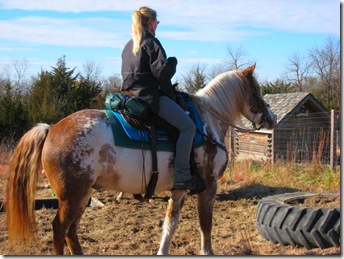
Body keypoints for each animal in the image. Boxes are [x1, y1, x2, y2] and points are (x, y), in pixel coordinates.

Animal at [4, 63, 276, 256]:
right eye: (256, 91)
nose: (271, 118)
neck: (207, 120)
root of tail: (51, 128)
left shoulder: (179, 189)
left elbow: (170, 224)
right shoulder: (209, 186)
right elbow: (205, 225)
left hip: (81, 195)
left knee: (71, 231)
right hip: (72, 195)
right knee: (60, 230)